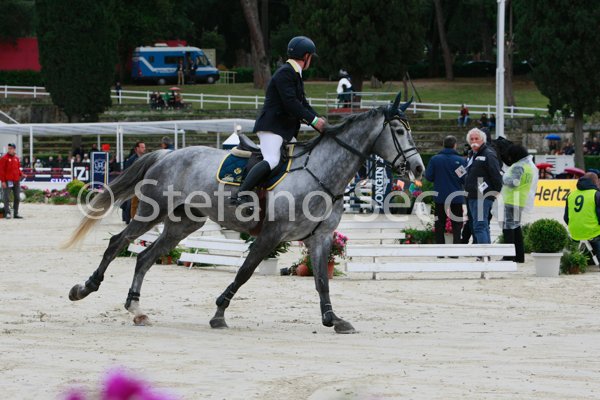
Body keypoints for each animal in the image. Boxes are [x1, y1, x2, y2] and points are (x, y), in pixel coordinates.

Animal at [63, 92, 425, 334]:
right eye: (399, 131)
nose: (418, 167)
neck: (321, 172)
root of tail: (167, 154)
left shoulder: (319, 237)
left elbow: (322, 281)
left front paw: (333, 319)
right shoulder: (271, 235)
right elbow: (245, 272)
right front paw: (219, 313)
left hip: (183, 224)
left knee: (145, 257)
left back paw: (136, 308)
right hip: (152, 212)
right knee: (117, 242)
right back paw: (84, 288)